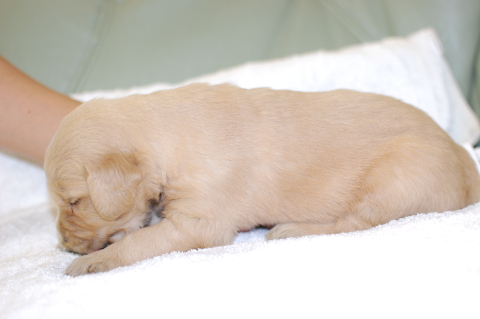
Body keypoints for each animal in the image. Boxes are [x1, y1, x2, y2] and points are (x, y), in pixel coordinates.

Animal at [45, 84, 480, 276]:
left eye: (74, 201)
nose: (64, 245)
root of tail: (465, 162)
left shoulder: (201, 222)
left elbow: (142, 242)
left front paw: (94, 260)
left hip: (396, 177)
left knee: (355, 222)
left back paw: (289, 229)